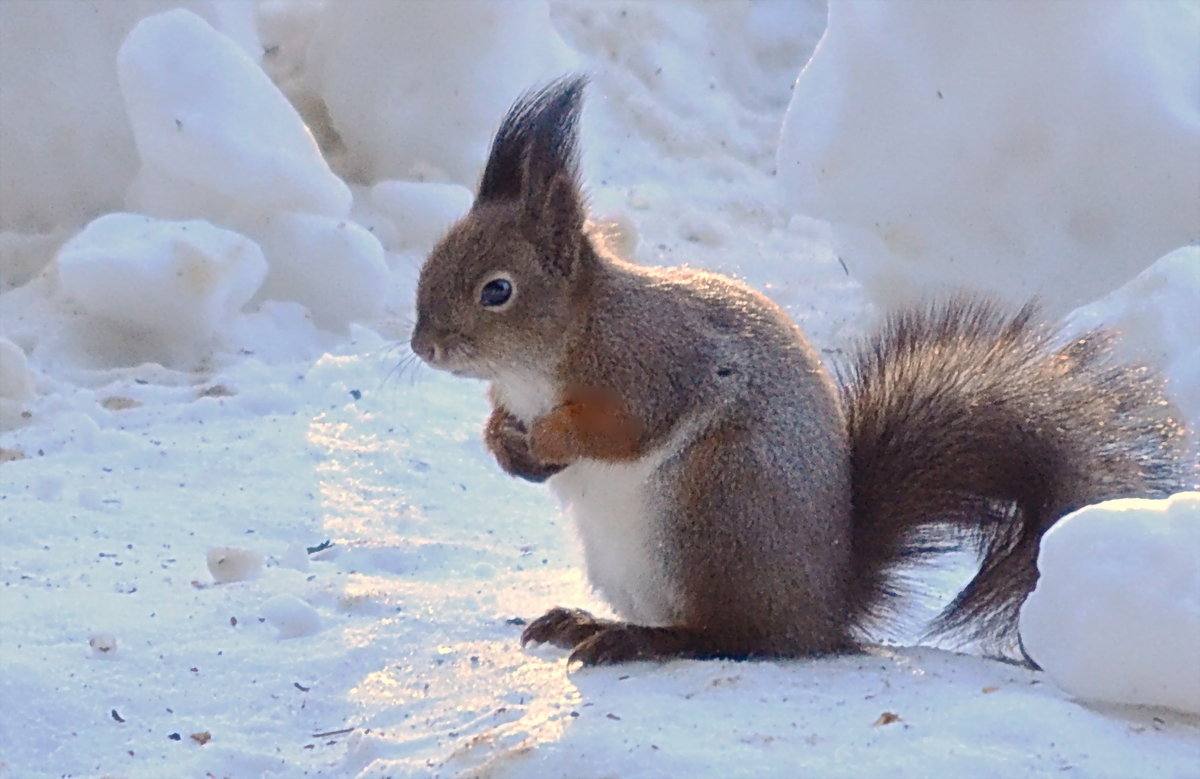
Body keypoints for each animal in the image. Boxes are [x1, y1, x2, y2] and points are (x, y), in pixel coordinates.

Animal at [410, 75, 1190, 667]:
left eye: (497, 290)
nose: (423, 346)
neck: (548, 356)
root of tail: (823, 607)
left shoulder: (653, 364)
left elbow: (620, 428)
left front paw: (546, 439)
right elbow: (503, 423)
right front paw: (503, 442)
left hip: (715, 512)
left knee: (735, 636)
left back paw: (638, 639)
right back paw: (585, 620)